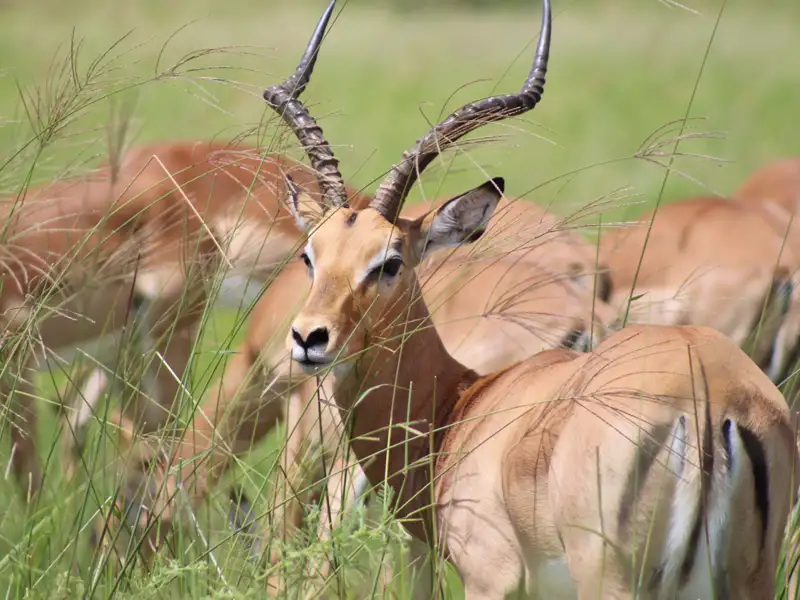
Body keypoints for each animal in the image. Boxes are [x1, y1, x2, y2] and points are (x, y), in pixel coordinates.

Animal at [209, 0, 796, 596]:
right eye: (311, 255)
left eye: (390, 261)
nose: (309, 337)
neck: (460, 409)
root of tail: (708, 397)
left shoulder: (488, 577)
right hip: (747, 579)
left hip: (609, 578)